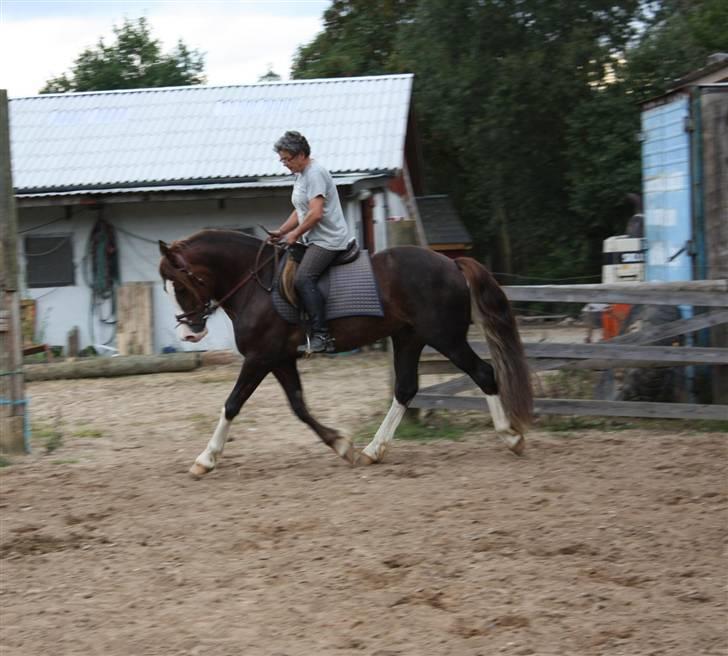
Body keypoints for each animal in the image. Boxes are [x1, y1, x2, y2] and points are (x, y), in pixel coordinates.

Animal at [159, 228, 532, 474]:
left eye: (181, 285)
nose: (189, 332)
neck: (256, 285)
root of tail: (451, 264)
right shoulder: (279, 359)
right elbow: (299, 406)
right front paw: (341, 444)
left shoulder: (260, 357)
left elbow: (232, 404)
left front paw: (205, 459)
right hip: (409, 338)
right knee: (405, 389)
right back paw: (372, 451)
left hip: (445, 337)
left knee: (484, 373)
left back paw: (511, 438)